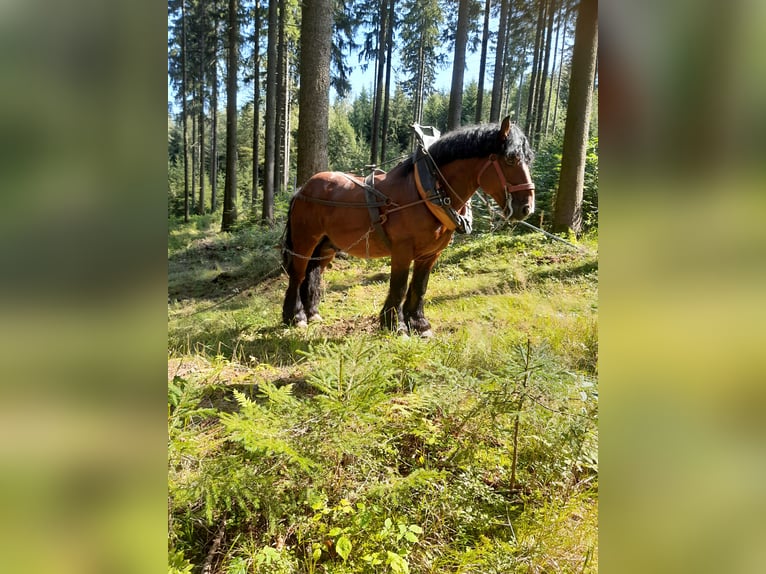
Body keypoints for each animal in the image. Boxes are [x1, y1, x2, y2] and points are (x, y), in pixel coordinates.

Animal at [280, 116, 536, 338]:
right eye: (510, 159)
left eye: (528, 159)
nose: (527, 207)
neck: (427, 192)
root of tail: (303, 189)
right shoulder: (402, 251)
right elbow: (400, 286)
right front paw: (395, 325)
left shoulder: (431, 254)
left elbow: (420, 286)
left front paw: (419, 324)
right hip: (305, 241)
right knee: (298, 274)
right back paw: (296, 316)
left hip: (326, 247)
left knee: (312, 274)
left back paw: (312, 313)